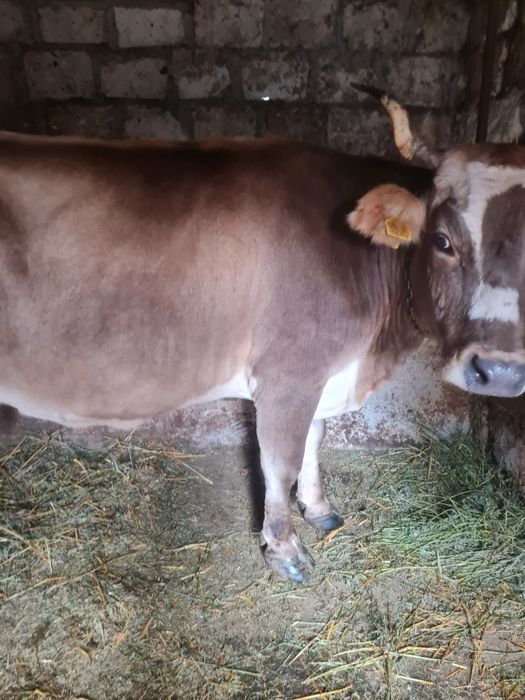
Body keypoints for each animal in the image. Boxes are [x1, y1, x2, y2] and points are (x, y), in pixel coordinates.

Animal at [0, 90, 524, 583]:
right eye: (442, 241)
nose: (499, 371)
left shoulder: (322, 373)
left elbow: (315, 438)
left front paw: (319, 509)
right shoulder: (288, 373)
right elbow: (280, 462)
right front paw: (285, 552)